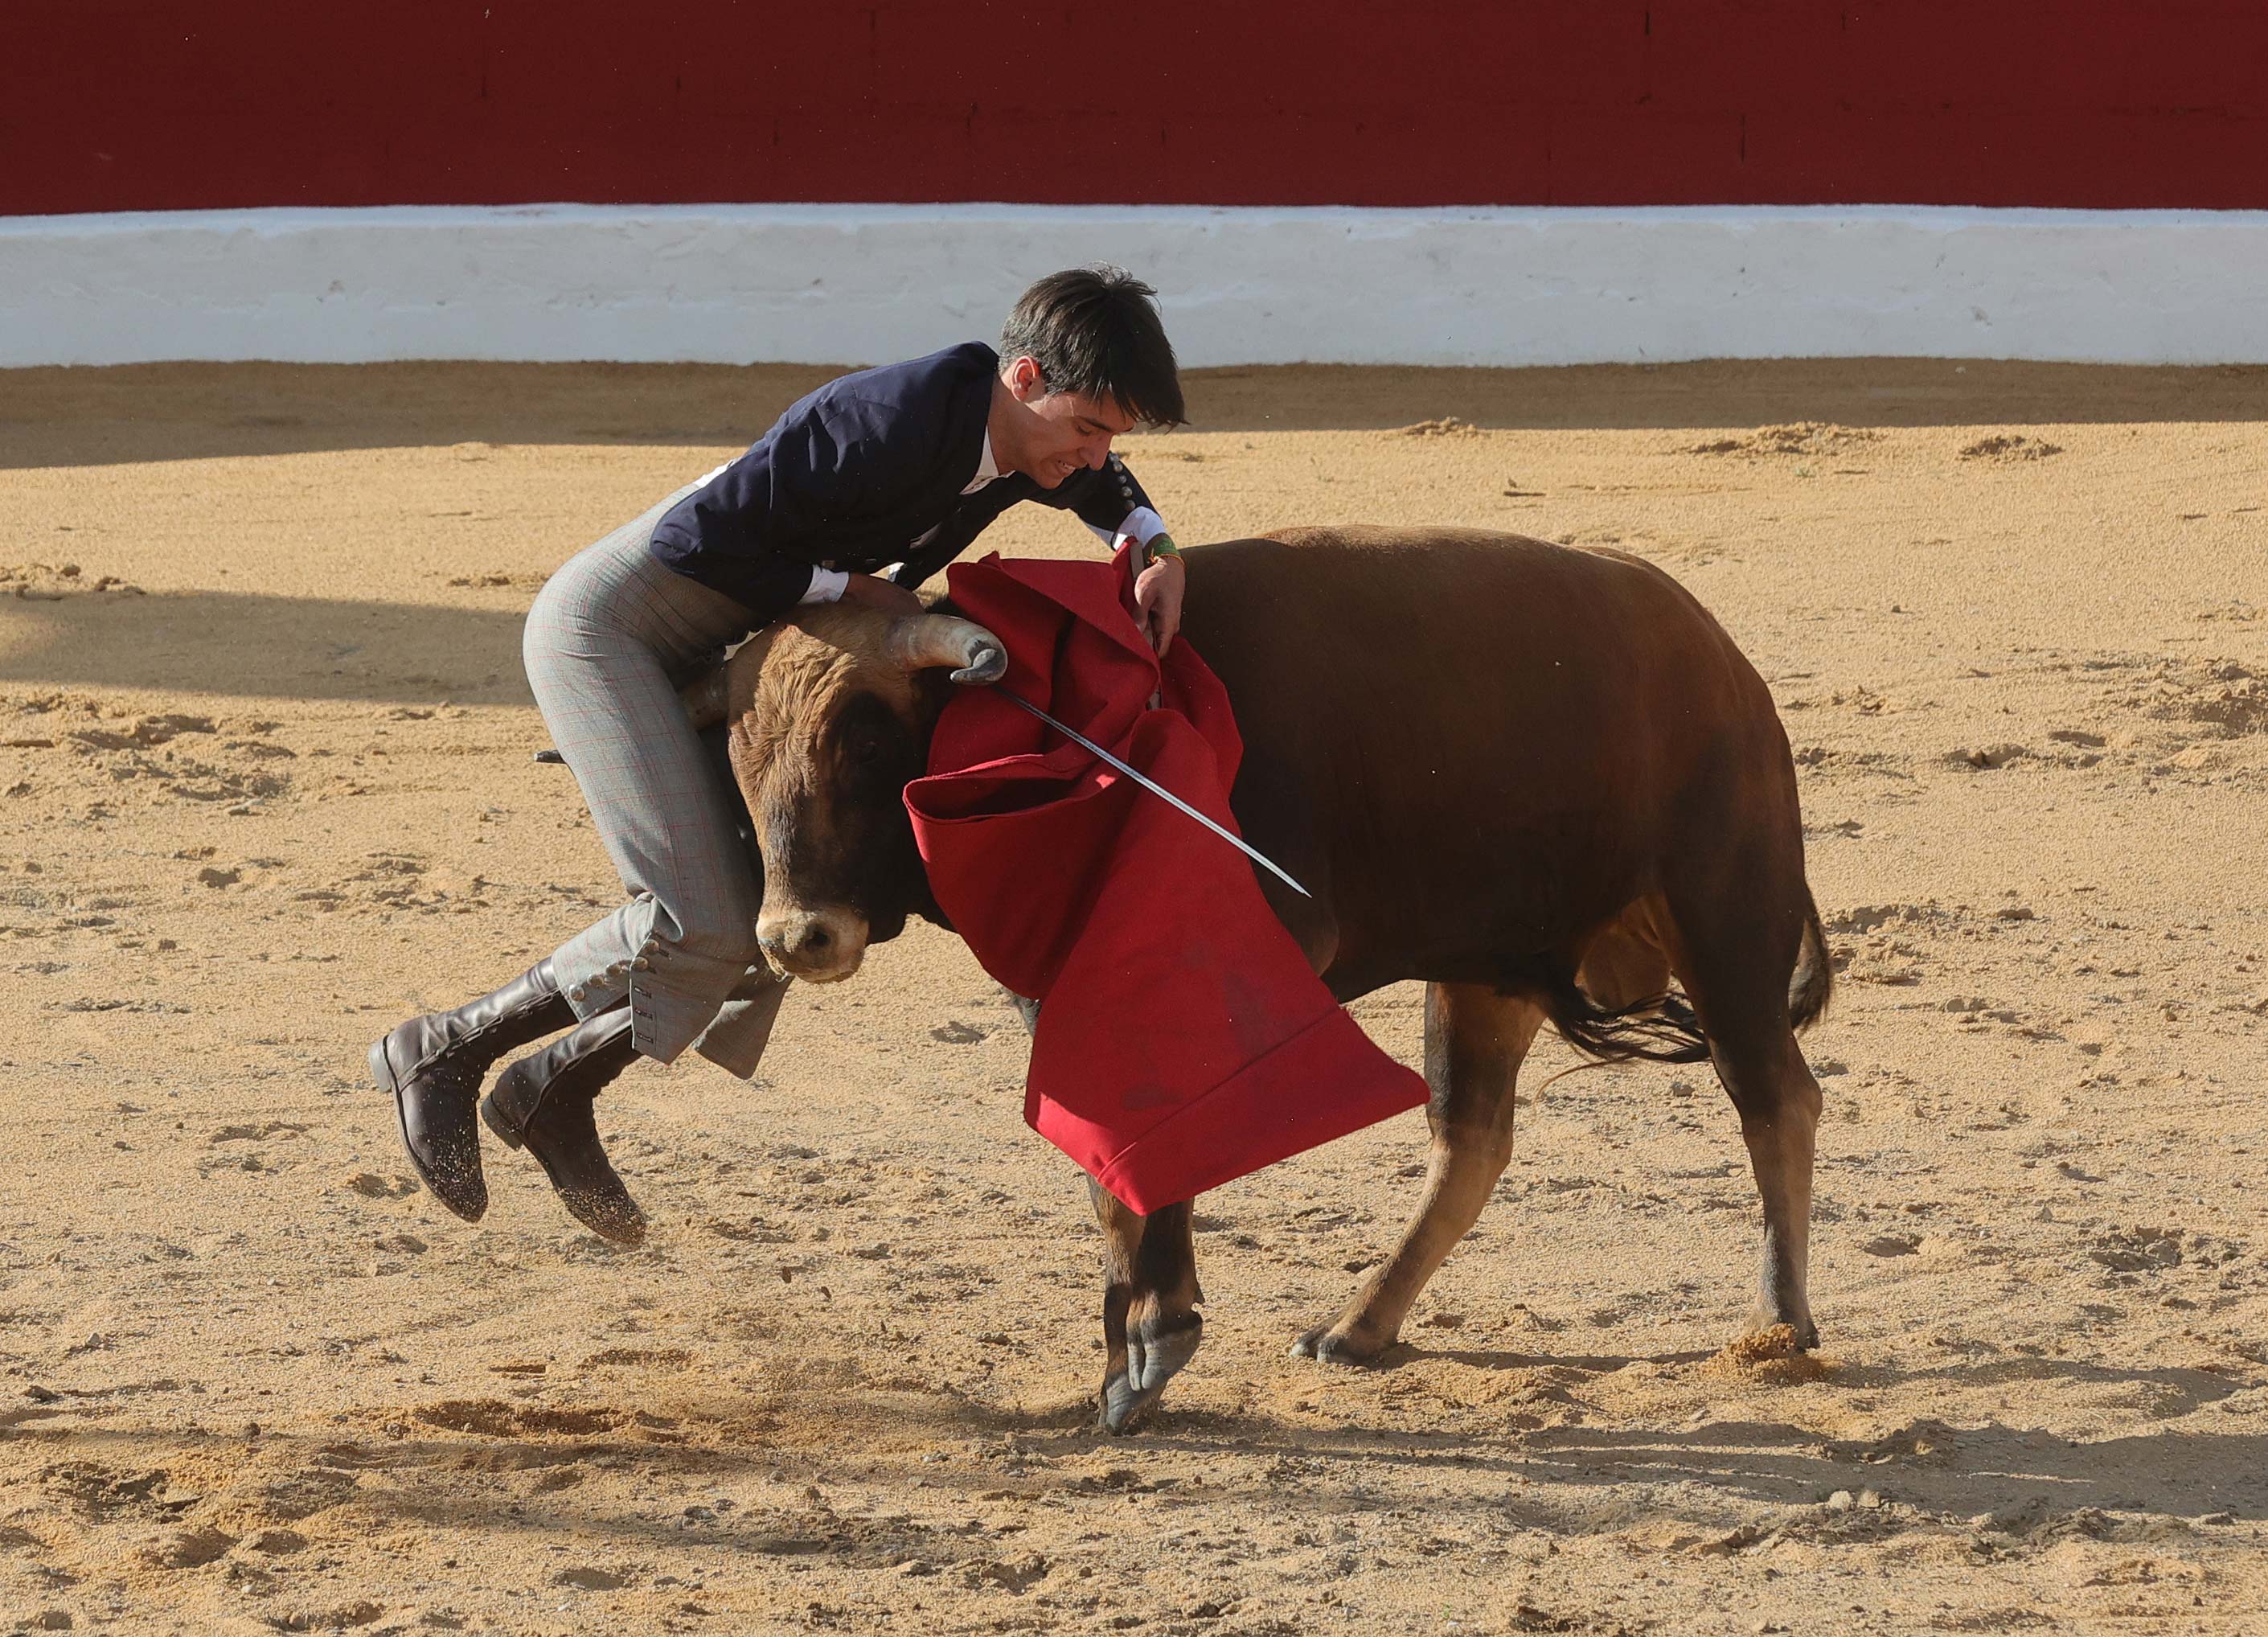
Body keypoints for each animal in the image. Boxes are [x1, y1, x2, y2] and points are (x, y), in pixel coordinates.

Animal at [684, 528, 1823, 1423]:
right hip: (1486, 965)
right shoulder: (1068, 1001)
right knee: (1472, 1139)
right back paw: (1358, 1327)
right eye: (737, 751)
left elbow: (1165, 1146)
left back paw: (1778, 1321)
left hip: (1725, 915)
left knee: (1774, 1097)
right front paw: (1132, 1346)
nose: (797, 933)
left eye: (871, 738)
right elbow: (1113, 1167)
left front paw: (1153, 1336)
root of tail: (1718, 656)